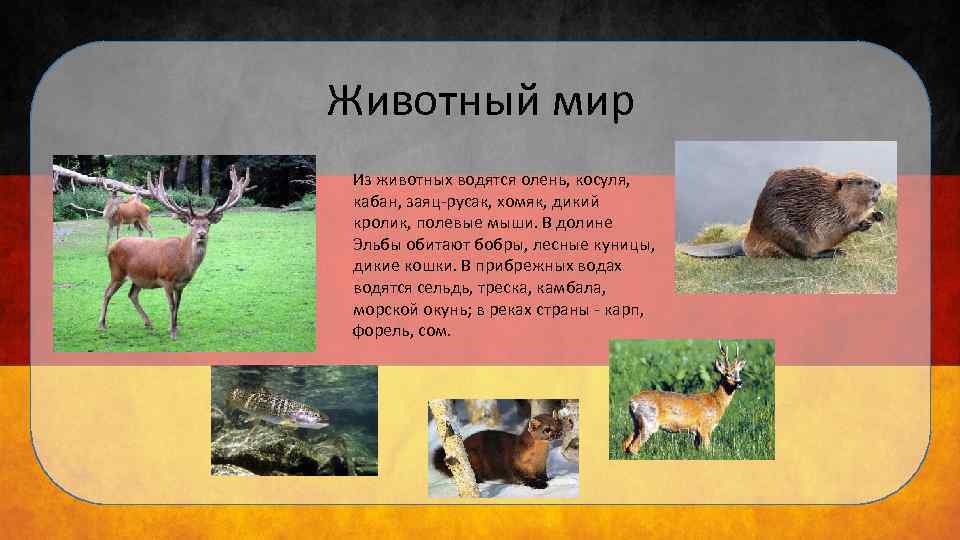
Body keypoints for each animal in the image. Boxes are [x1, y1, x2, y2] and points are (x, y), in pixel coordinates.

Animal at [98, 165, 251, 340]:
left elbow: (178, 305)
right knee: (107, 292)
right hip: (117, 272)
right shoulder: (166, 280)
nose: (201, 234)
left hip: (138, 277)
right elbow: (171, 305)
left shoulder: (182, 284)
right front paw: (172, 333)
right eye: (192, 224)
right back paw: (102, 324)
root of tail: (112, 247)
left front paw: (176, 327)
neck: (182, 261)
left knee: (132, 295)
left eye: (208, 224)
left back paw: (148, 323)